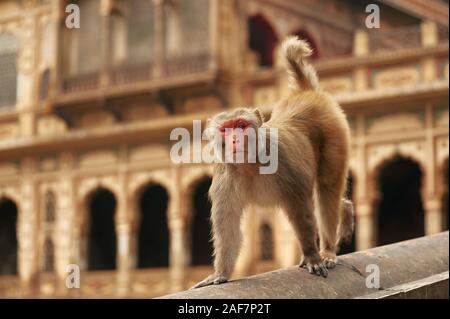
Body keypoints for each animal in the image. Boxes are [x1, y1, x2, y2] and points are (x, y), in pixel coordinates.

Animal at [193, 36, 356, 288]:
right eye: (226, 128)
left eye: (241, 125)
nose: (234, 139)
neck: (250, 163)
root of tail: (306, 93)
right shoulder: (224, 176)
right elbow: (228, 225)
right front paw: (219, 273)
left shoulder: (284, 164)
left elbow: (300, 208)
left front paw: (312, 256)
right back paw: (346, 210)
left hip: (335, 131)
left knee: (326, 189)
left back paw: (327, 250)